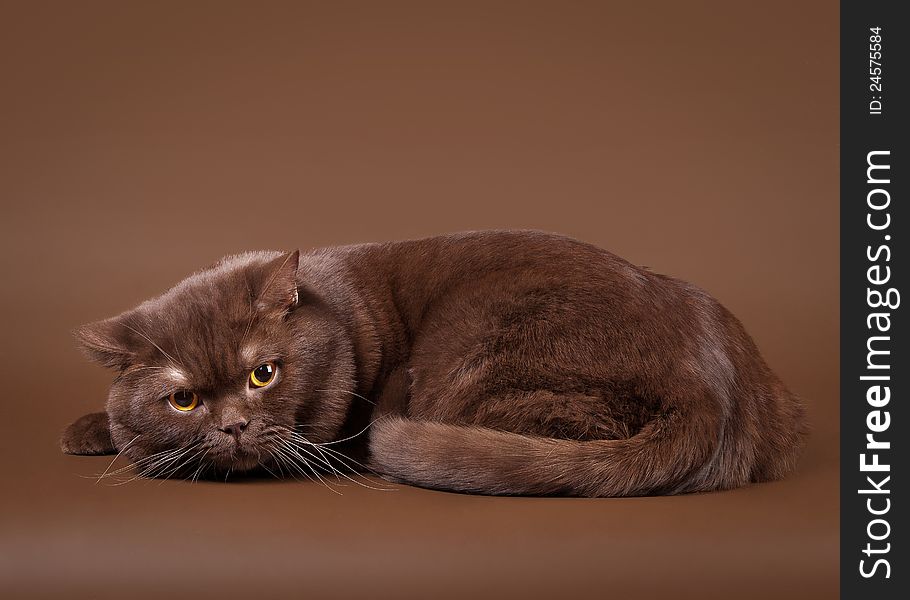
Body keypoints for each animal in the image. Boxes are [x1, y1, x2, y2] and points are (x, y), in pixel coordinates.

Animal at [62, 231, 804, 496]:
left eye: (262, 374)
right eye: (184, 400)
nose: (235, 426)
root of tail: (711, 386)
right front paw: (92, 431)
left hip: (472, 349)